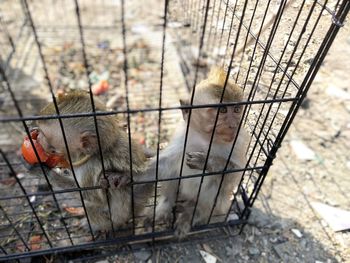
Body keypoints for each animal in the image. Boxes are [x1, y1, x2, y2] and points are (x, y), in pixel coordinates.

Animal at [32, 91, 152, 235]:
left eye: (52, 147)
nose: (39, 138)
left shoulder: (88, 167)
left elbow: (91, 196)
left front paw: (45, 172)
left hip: (114, 217)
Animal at [144, 67, 250, 238]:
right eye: (222, 110)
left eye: (236, 110)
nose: (233, 125)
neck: (207, 139)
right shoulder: (183, 135)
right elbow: (165, 163)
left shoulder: (239, 141)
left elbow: (235, 175)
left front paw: (208, 162)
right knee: (174, 169)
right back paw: (165, 206)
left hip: (220, 205)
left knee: (213, 187)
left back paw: (193, 213)